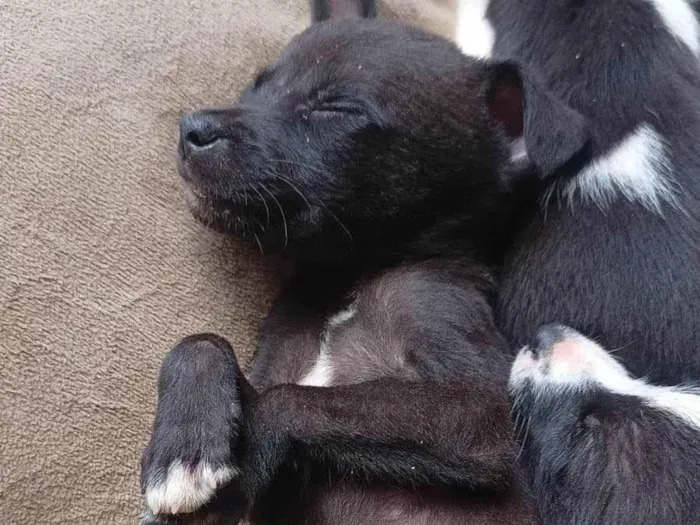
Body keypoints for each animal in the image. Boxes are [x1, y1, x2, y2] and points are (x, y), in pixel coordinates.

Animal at [138, 1, 592, 524]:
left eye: (337, 109)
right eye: (256, 88)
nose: (193, 128)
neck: (349, 283)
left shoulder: (484, 414)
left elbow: (290, 399)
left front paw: (212, 472)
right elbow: (203, 343)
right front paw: (183, 449)